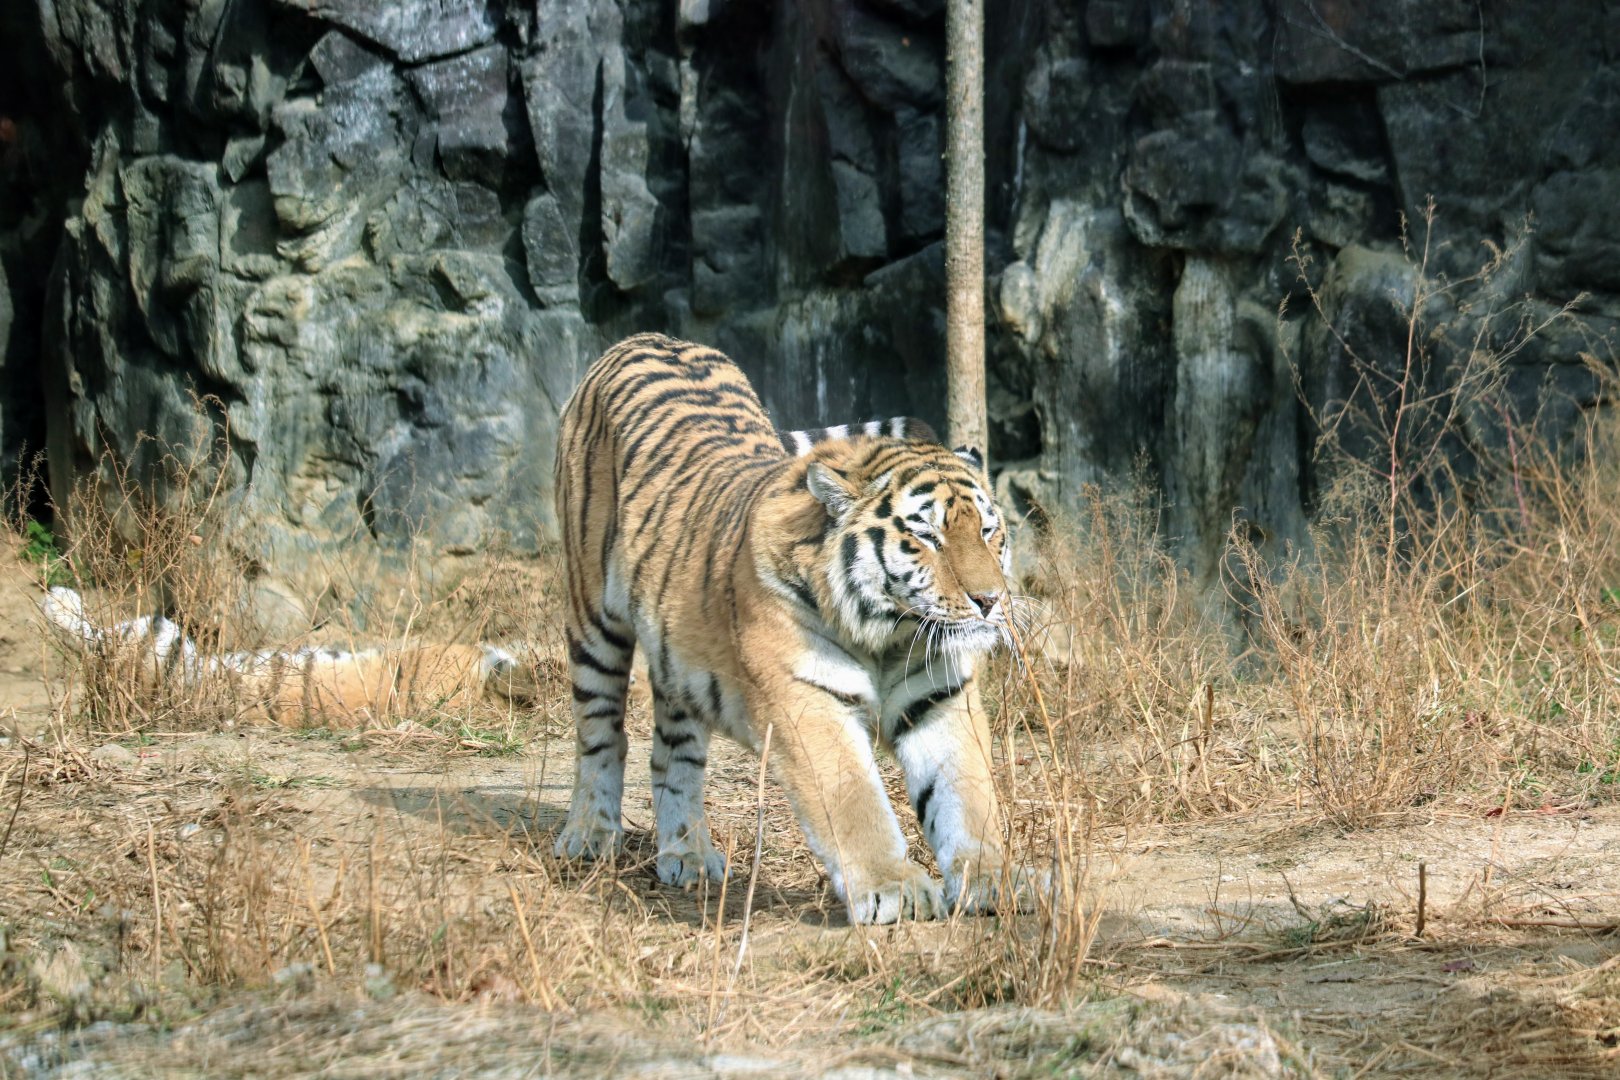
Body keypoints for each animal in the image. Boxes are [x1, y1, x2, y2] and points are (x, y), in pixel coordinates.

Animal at [554, 332, 1046, 924]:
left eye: (990, 531)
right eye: (926, 536)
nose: (990, 601)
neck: (889, 634)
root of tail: (644, 337)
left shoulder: (940, 698)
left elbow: (968, 795)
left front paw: (995, 878)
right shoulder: (806, 701)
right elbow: (853, 799)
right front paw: (894, 889)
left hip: (676, 654)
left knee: (674, 752)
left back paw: (689, 857)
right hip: (592, 618)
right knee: (600, 733)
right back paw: (588, 836)